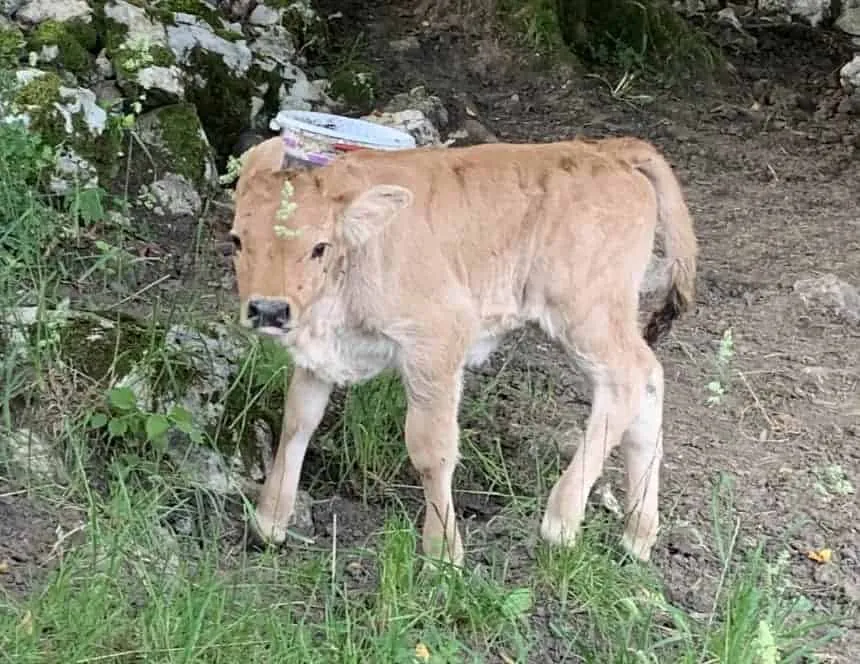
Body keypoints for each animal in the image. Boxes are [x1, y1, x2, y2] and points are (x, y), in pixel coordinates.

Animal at [229, 134, 698, 566]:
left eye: (319, 247)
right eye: (236, 240)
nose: (269, 309)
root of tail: (609, 150)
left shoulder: (438, 340)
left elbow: (430, 448)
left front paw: (442, 553)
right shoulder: (319, 358)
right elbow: (297, 423)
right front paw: (269, 522)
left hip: (588, 313)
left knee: (628, 379)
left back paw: (561, 521)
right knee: (650, 381)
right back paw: (637, 535)